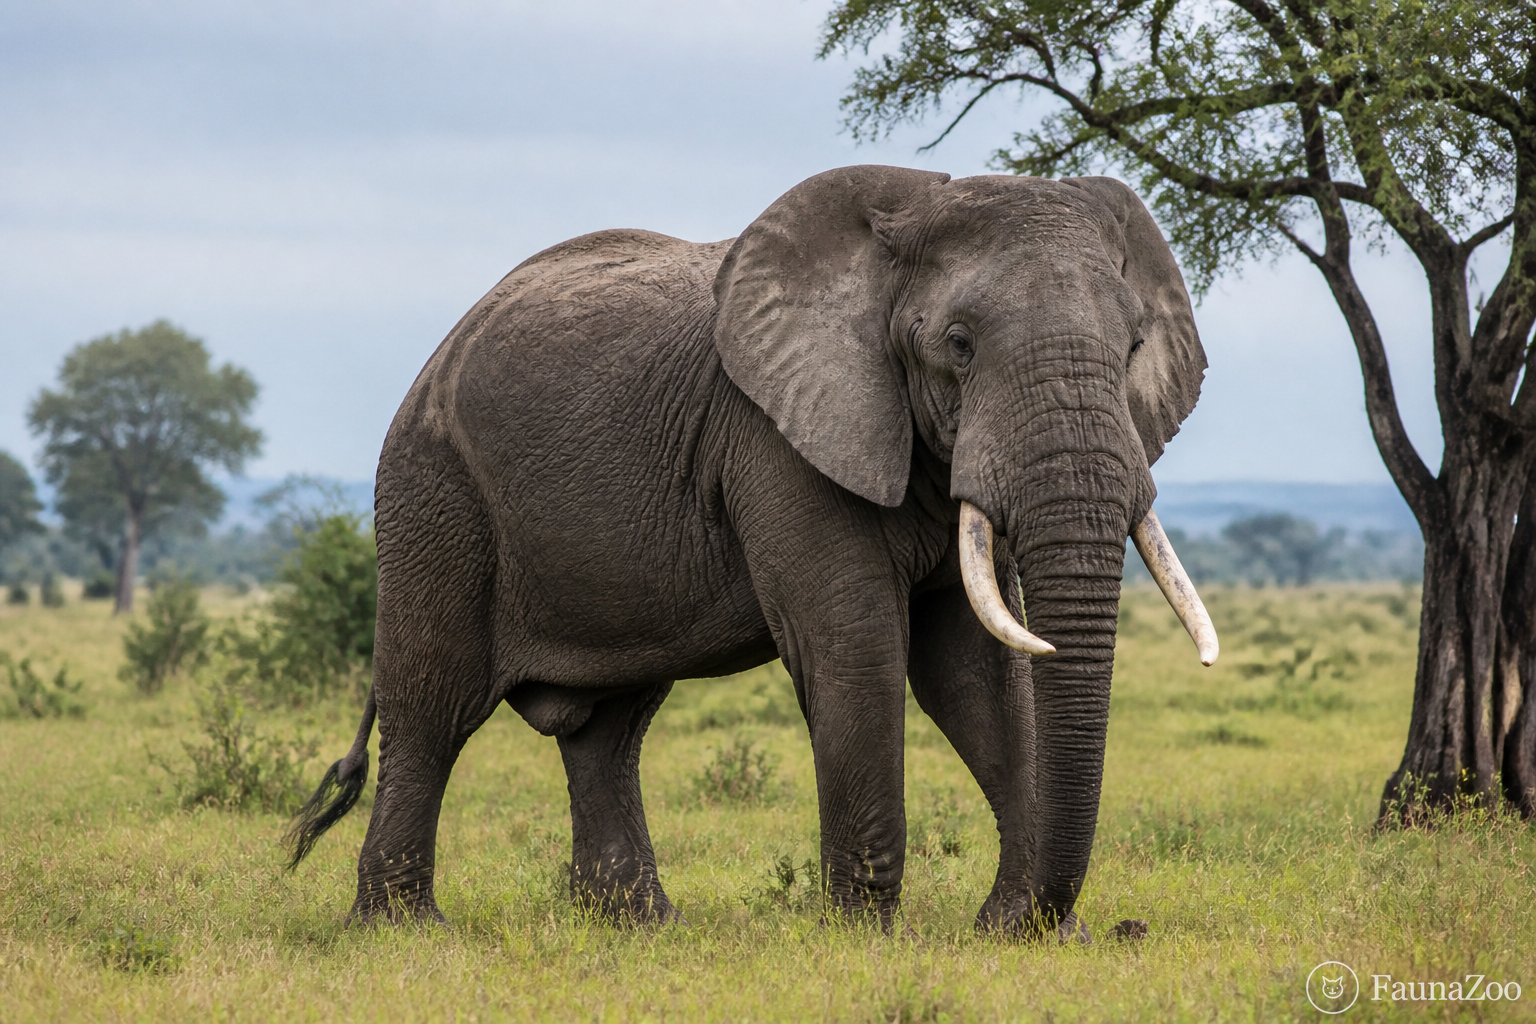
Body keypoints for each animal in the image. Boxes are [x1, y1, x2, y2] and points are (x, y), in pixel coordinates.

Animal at [286, 164, 1219, 940]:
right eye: (958, 345)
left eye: (1134, 346)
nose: (1064, 923)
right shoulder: (772, 439)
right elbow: (856, 650)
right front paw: (864, 940)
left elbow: (979, 676)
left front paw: (1022, 934)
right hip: (433, 490)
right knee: (432, 705)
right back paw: (405, 933)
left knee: (608, 727)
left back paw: (642, 929)